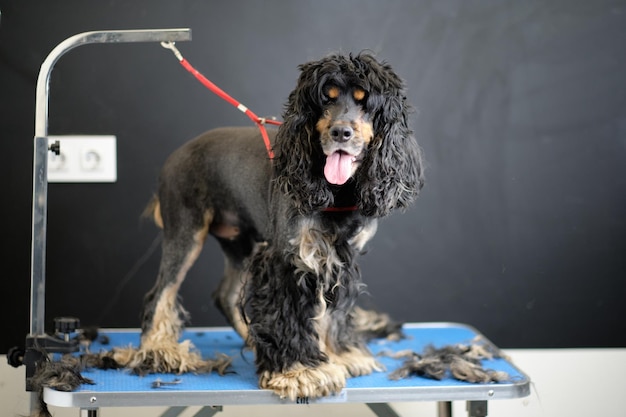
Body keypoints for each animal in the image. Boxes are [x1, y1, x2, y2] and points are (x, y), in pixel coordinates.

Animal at [114, 50, 422, 398]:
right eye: (326, 99)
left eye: (364, 102)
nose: (340, 132)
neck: (337, 190)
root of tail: (174, 156)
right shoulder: (287, 256)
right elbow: (287, 311)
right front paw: (300, 371)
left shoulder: (341, 256)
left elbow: (334, 310)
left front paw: (340, 354)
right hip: (185, 230)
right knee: (160, 293)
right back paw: (158, 351)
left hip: (240, 241)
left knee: (225, 294)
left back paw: (252, 339)